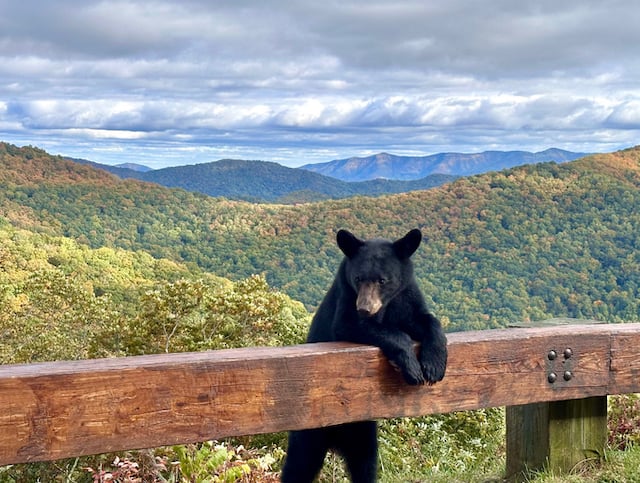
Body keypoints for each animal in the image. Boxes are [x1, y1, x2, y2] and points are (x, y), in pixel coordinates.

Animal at [282, 230, 448, 483]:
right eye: (358, 278)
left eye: (383, 280)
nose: (364, 308)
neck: (385, 306)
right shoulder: (346, 297)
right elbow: (354, 325)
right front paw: (411, 367)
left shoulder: (406, 295)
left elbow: (424, 319)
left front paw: (434, 365)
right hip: (310, 433)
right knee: (299, 464)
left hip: (363, 430)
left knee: (365, 463)